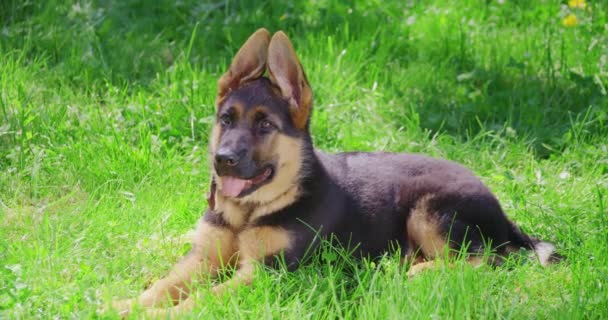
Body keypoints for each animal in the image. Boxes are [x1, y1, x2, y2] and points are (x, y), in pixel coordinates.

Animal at [110, 28, 560, 318]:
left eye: (265, 125)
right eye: (226, 119)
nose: (223, 160)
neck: (252, 210)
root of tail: (502, 211)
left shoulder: (265, 273)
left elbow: (200, 299)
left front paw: (153, 315)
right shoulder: (202, 258)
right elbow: (162, 286)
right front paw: (122, 304)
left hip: (431, 210)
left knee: (486, 258)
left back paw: (419, 270)